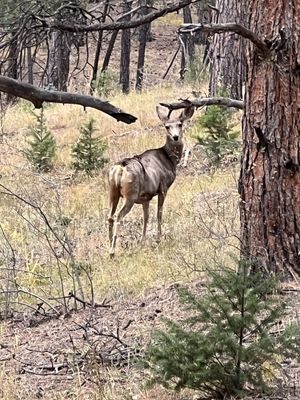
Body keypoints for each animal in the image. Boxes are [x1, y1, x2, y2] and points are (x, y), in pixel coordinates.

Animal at [108, 104, 195, 258]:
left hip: (113, 192)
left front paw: (143, 241)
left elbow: (146, 217)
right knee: (118, 216)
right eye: (167, 126)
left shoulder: (145, 198)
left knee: (110, 216)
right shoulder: (163, 188)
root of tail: (120, 168)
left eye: (180, 124)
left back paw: (108, 245)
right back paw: (112, 251)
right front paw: (158, 238)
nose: (176, 137)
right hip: (130, 196)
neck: (169, 159)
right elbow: (159, 213)